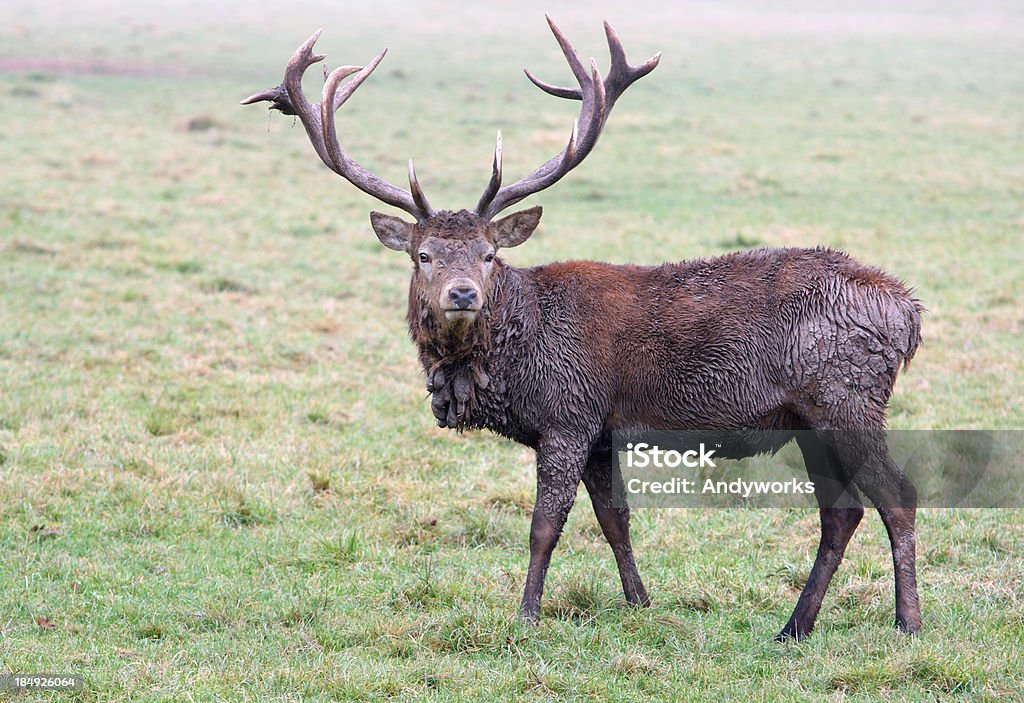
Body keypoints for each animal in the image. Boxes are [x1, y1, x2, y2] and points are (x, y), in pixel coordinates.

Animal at [243, 17, 925, 642]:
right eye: (424, 255)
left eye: (489, 253)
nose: (462, 295)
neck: (517, 356)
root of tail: (909, 312)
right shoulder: (601, 429)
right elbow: (614, 519)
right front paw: (641, 603)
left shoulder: (568, 414)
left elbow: (546, 525)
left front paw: (526, 614)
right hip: (811, 418)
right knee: (841, 511)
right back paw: (795, 626)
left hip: (847, 396)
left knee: (897, 494)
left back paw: (908, 623)